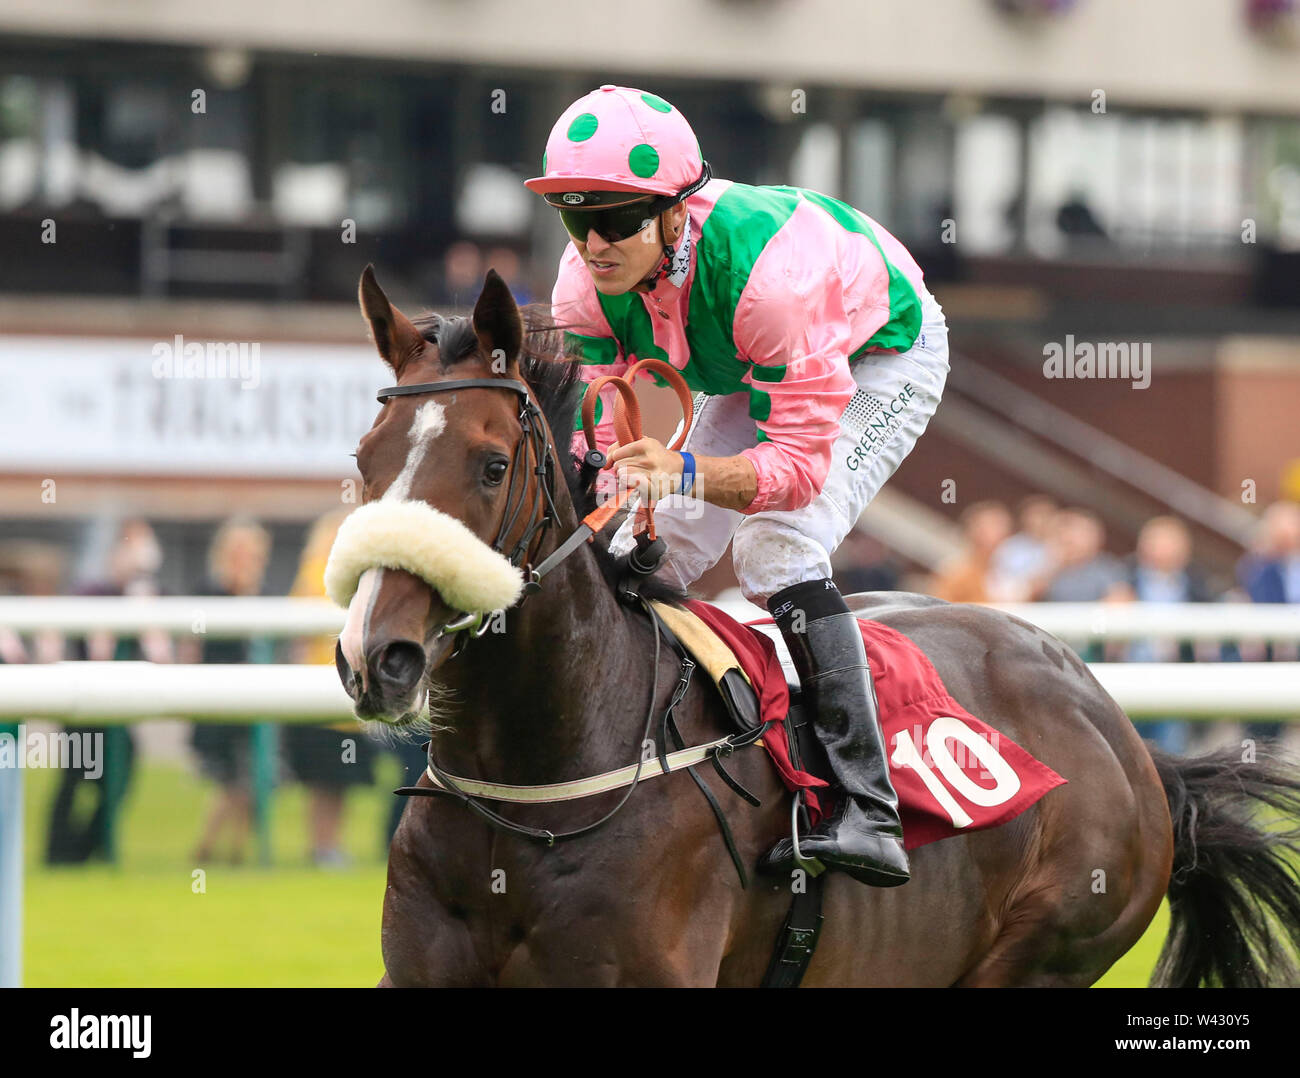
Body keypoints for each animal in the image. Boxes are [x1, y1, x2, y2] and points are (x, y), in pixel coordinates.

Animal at [330, 262, 1294, 983]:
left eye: (493, 464)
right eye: (364, 458)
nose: (377, 656)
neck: (538, 788)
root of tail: (1128, 738)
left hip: (1046, 949)